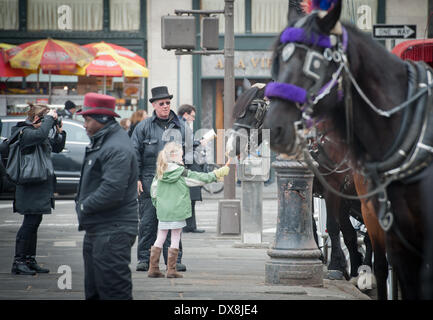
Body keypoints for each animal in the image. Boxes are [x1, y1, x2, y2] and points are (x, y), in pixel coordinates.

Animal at [226, 82, 372, 282]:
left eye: (252, 109)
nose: (231, 145)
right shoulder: (311, 188)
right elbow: (313, 224)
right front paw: (324, 258)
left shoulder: (333, 188)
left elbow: (333, 226)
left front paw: (335, 266)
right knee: (352, 233)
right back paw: (357, 269)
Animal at [264, 0, 432, 300]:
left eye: (314, 65)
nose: (280, 127)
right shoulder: (334, 190)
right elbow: (339, 228)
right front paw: (344, 266)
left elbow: (347, 231)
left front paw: (348, 268)